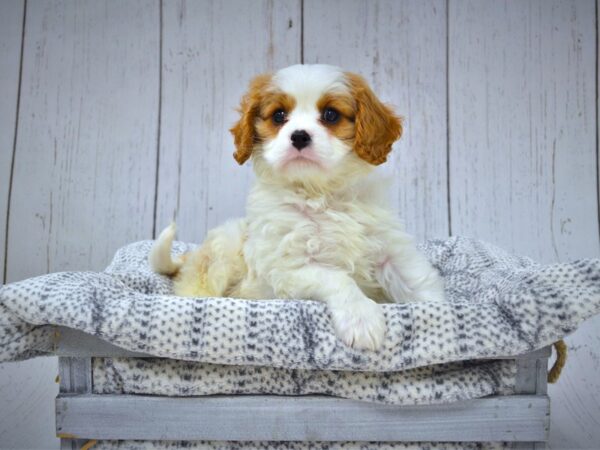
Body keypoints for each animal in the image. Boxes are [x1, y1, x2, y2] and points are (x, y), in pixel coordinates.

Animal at [150, 64, 446, 352]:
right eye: (279, 116)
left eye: (330, 115)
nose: (300, 136)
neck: (320, 194)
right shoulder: (289, 266)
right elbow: (338, 279)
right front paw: (361, 319)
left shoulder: (390, 250)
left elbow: (418, 281)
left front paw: (441, 314)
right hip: (222, 252)